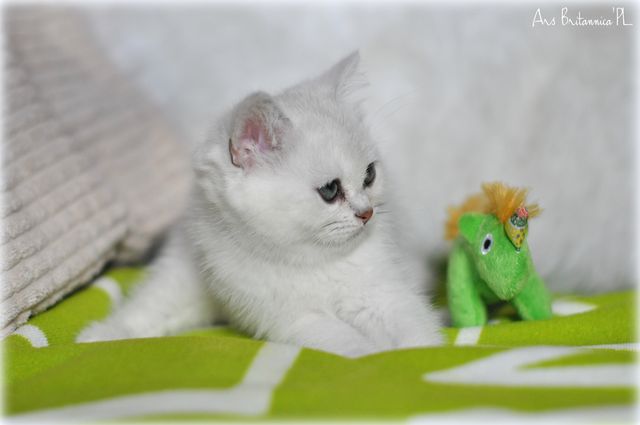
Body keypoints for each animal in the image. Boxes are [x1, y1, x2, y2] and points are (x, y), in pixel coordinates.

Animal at [77, 52, 443, 357]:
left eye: (369, 175)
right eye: (330, 190)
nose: (367, 213)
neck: (310, 262)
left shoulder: (384, 292)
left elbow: (413, 325)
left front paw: (418, 357)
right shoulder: (294, 319)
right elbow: (352, 345)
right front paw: (375, 357)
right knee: (151, 305)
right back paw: (101, 335)